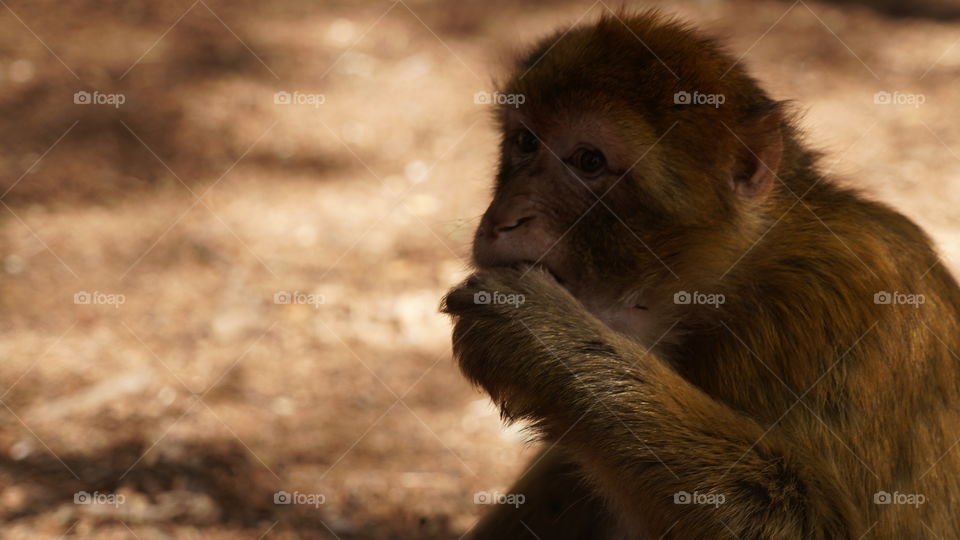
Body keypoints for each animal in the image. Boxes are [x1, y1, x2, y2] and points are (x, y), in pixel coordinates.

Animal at [440, 9, 960, 540]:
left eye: (589, 161)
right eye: (526, 142)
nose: (505, 218)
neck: (726, 292)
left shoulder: (841, 305)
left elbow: (815, 523)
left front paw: (540, 339)